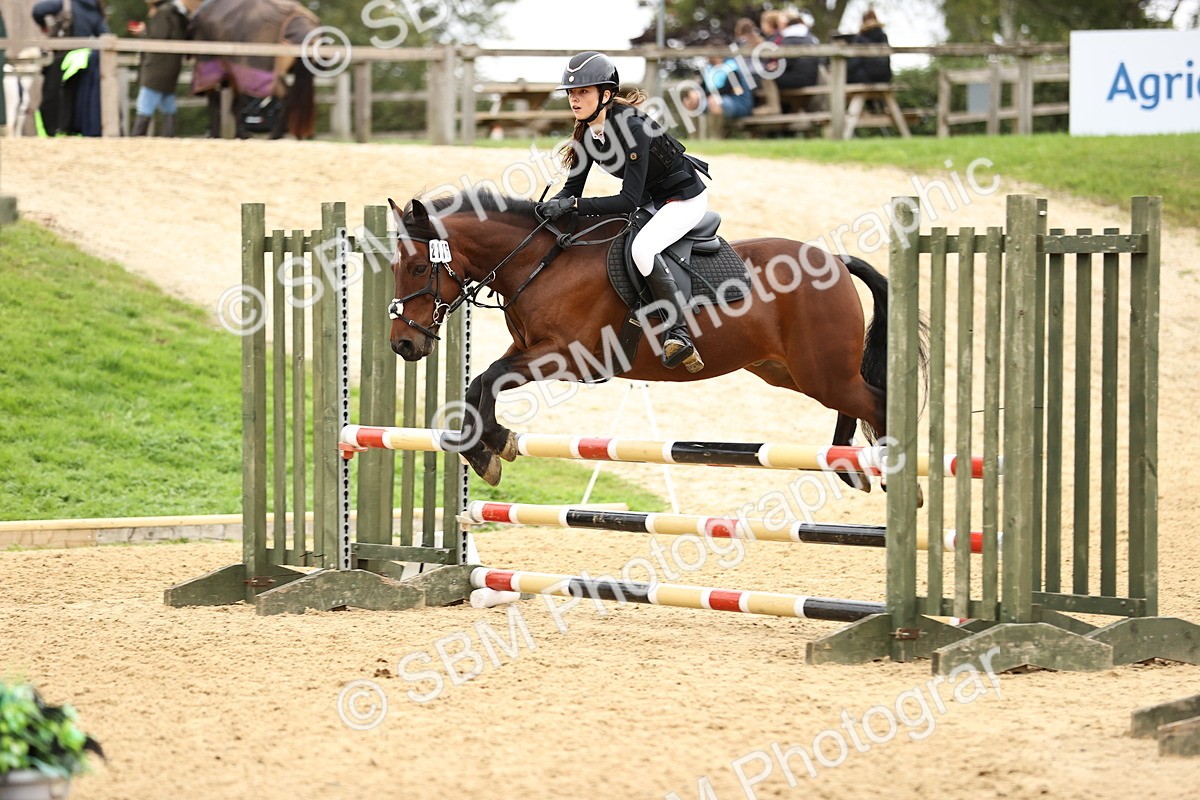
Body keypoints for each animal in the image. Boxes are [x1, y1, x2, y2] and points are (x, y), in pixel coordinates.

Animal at [385, 189, 928, 491]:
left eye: (417, 268)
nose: (403, 346)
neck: (540, 262)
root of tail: (835, 260)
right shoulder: (528, 350)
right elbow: (481, 382)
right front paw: (488, 445)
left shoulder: (567, 356)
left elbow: (491, 378)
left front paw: (488, 447)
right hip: (790, 372)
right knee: (854, 402)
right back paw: (848, 467)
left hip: (821, 371)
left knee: (875, 401)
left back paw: (898, 483)